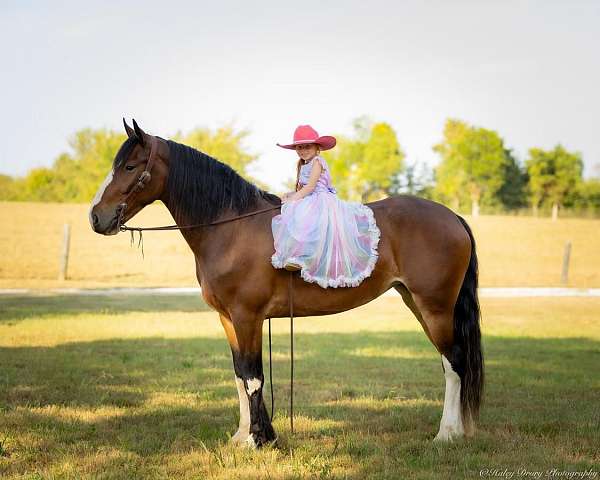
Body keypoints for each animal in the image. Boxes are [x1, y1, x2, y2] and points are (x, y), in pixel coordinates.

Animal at [88, 118, 482, 448]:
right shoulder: (228, 318)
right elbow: (238, 375)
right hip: (416, 302)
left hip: (434, 306)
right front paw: (244, 436)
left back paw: (447, 433)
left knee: (454, 362)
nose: (95, 217)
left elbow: (253, 377)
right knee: (452, 361)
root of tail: (452, 216)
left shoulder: (248, 317)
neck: (231, 227)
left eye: (130, 166)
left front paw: (256, 440)